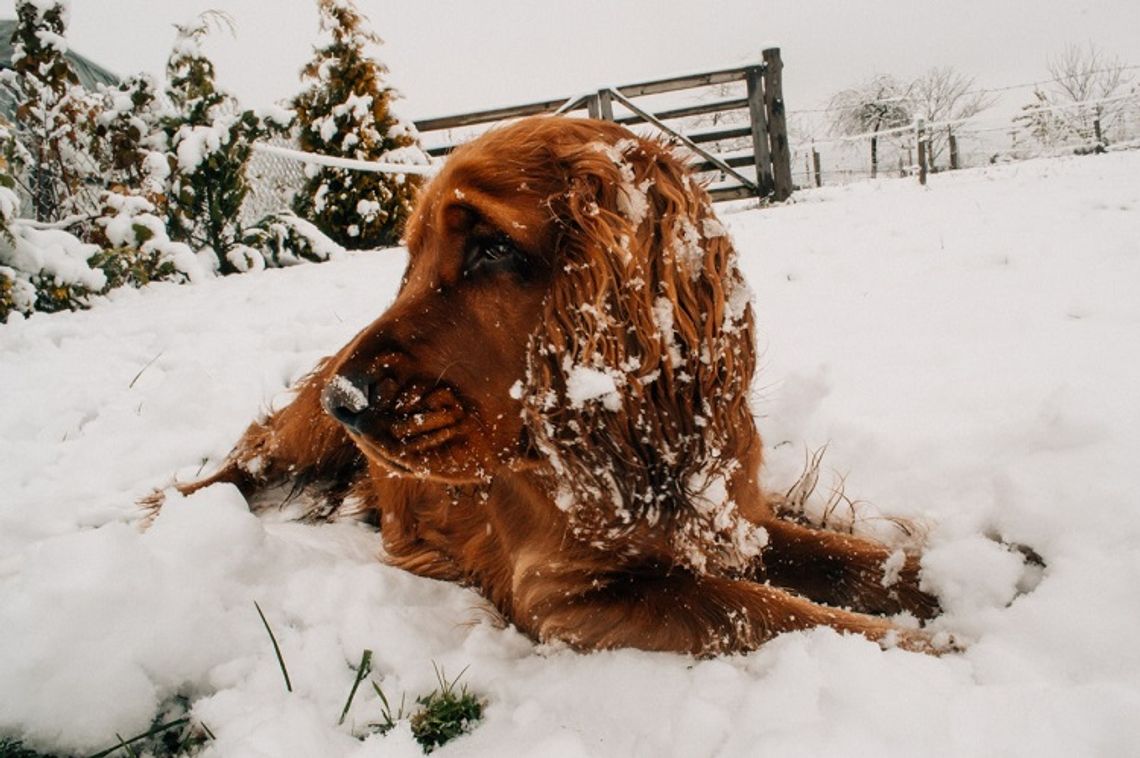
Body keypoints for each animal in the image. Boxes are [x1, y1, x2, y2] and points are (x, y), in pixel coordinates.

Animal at [175, 115, 943, 651]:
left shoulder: (736, 519)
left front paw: (952, 584)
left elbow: (858, 560)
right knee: (239, 461)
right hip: (293, 437)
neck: (631, 453)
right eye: (412, 258)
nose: (346, 401)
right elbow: (763, 611)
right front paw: (927, 649)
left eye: (492, 247)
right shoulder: (570, 597)